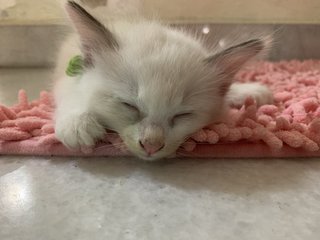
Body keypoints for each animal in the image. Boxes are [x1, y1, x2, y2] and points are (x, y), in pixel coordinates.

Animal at [54, 1, 272, 161]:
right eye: (128, 105)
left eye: (182, 115)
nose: (151, 145)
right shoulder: (69, 75)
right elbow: (69, 90)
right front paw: (76, 122)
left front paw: (246, 91)